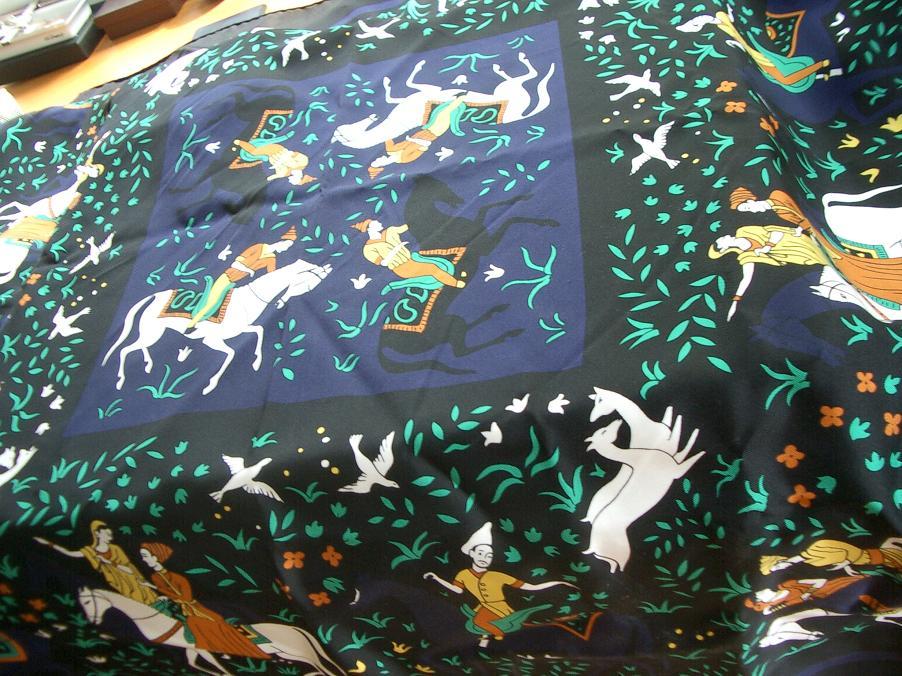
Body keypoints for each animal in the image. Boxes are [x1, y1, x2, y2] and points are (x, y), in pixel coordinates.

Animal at [78, 587, 345, 675]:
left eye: (89, 601)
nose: (93, 619)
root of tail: (292, 629)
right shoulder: (195, 651)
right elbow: (200, 665)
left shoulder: (201, 648)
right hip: (291, 653)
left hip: (296, 652)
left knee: (319, 664)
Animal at [102, 258, 332, 395]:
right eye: (310, 275)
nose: (326, 270)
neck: (247, 300)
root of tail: (155, 295)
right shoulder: (212, 340)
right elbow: (231, 354)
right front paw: (210, 385)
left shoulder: (242, 329)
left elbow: (259, 331)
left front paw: (257, 362)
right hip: (153, 332)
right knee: (125, 349)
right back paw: (121, 381)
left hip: (154, 332)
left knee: (139, 346)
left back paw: (148, 365)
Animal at [376, 175, 559, 374]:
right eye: (440, 185)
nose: (460, 200)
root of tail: (383, 345)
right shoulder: (485, 246)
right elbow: (510, 219)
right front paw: (546, 222)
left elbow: (485, 209)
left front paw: (522, 197)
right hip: (444, 328)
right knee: (461, 351)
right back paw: (507, 334)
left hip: (450, 323)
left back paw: (495, 312)